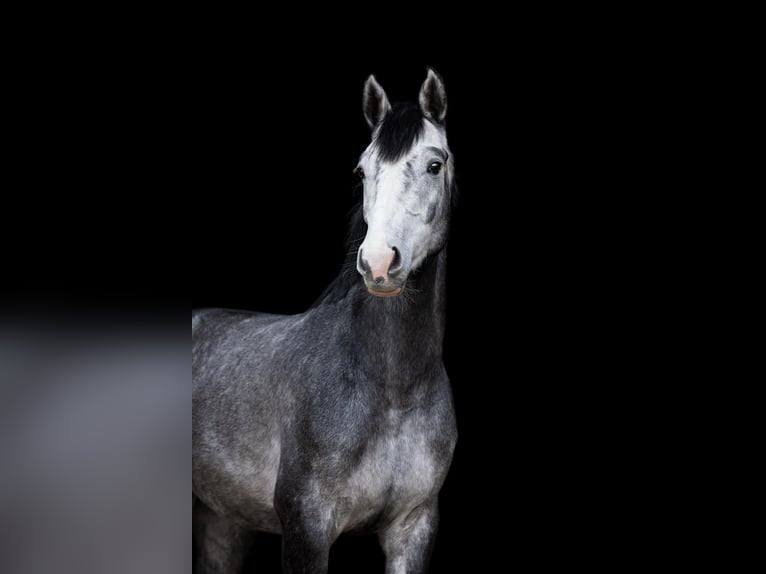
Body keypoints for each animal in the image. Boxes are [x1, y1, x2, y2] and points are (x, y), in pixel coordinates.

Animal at [195, 70, 462, 572]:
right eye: (361, 171)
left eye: (434, 165)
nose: (378, 263)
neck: (392, 391)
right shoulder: (307, 527)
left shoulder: (413, 528)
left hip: (223, 523)